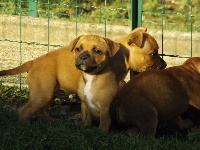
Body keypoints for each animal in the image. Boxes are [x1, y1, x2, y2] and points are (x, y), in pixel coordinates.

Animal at [0, 26, 166, 122]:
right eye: (153, 54)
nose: (164, 64)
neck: (123, 55)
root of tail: (32, 62)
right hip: (42, 94)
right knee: (24, 112)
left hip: (47, 94)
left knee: (40, 109)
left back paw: (50, 122)